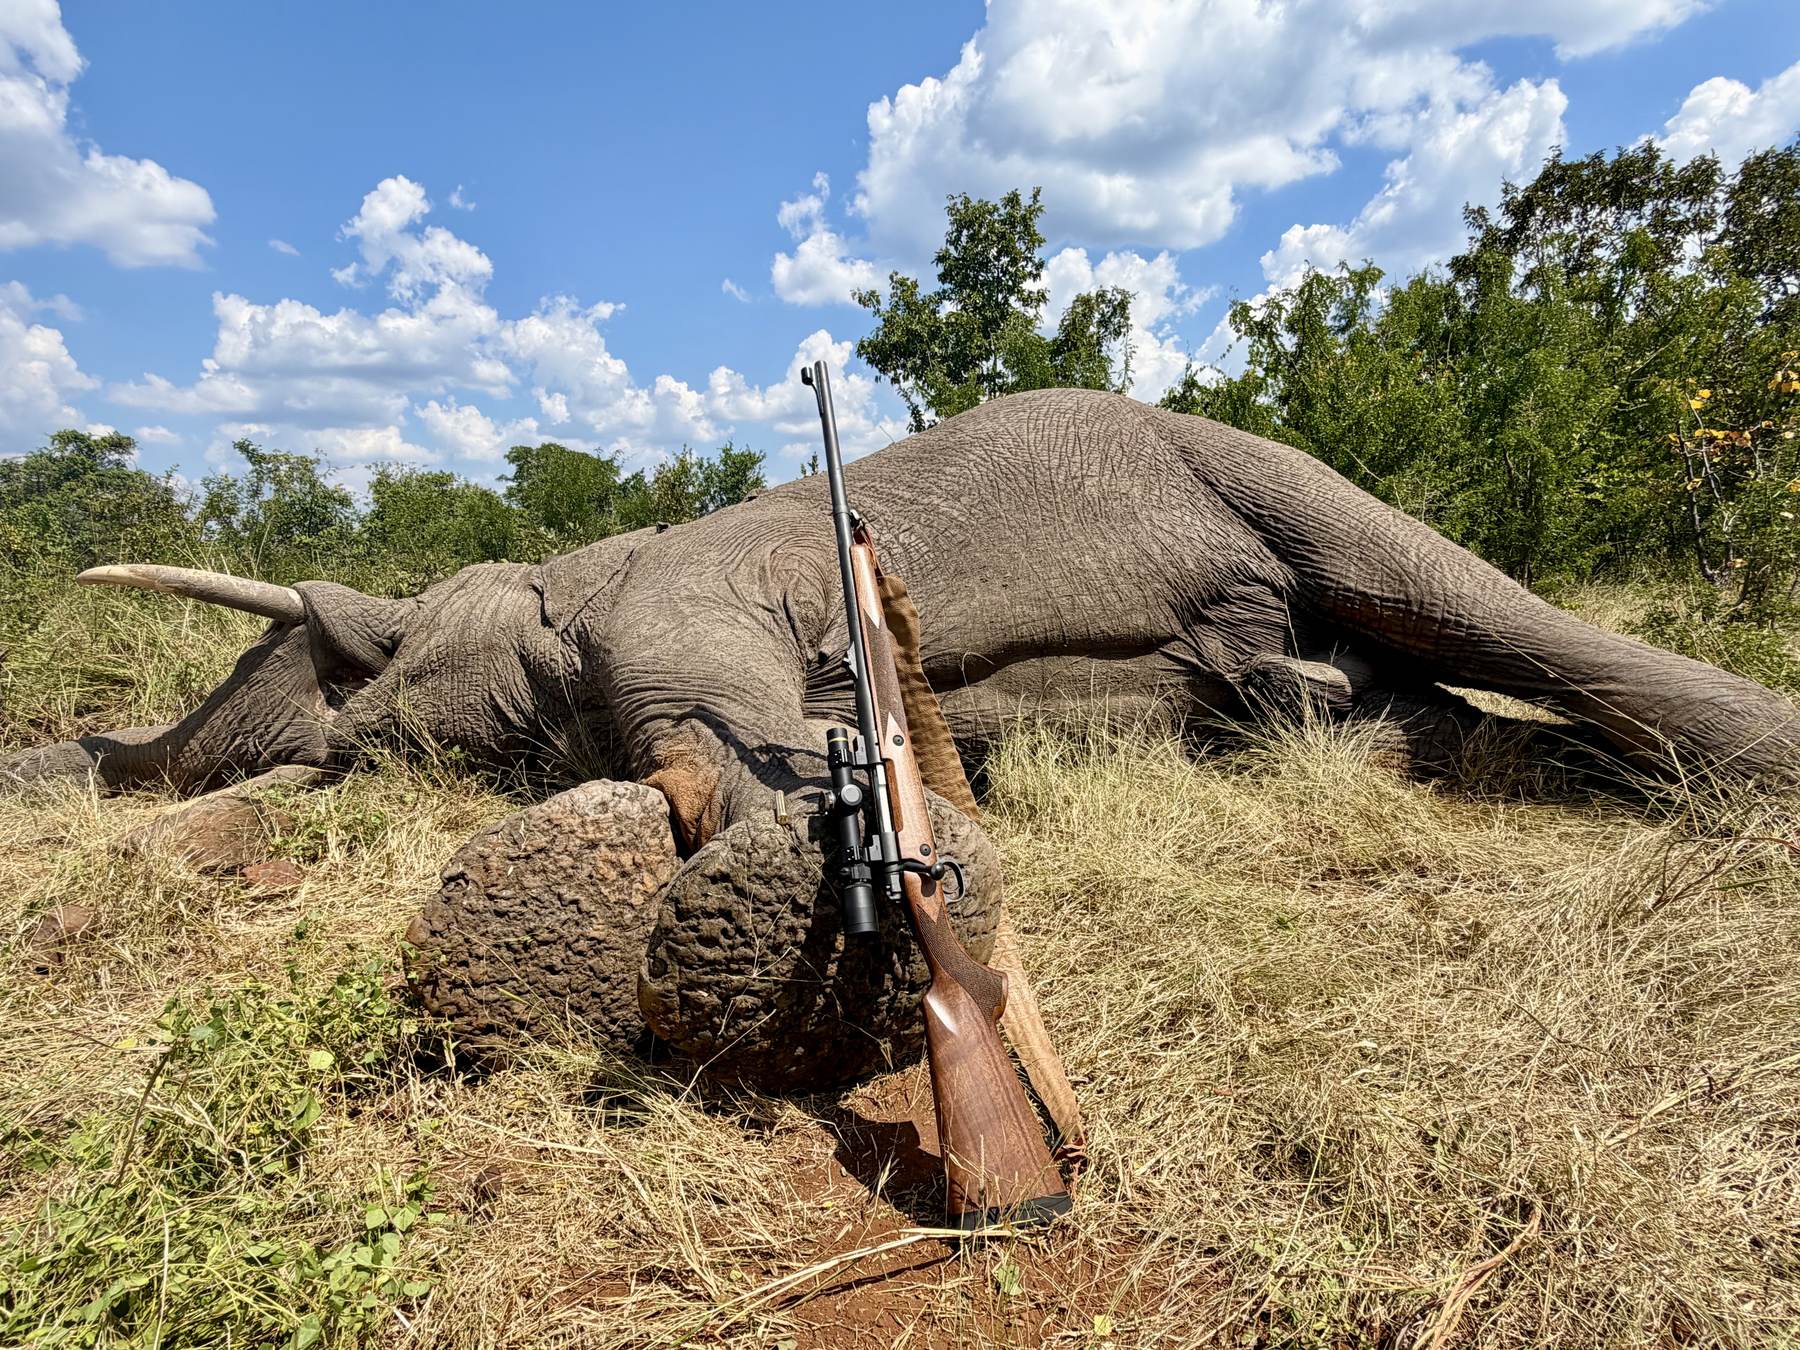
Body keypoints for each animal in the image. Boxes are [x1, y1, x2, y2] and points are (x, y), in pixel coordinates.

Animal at [8, 389, 1796, 1090]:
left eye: (343, 653)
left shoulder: (686, 585)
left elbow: (710, 721)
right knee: (1381, 713)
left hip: (1253, 462)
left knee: (1481, 613)